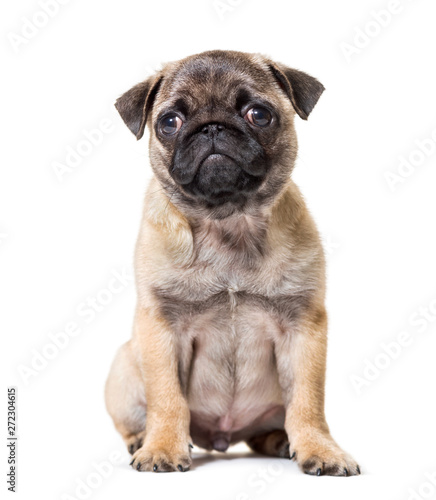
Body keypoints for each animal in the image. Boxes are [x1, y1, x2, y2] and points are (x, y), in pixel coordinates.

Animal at [104, 50, 360, 476]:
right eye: (169, 122)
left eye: (259, 114)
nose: (212, 128)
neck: (227, 223)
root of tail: (223, 437)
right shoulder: (161, 326)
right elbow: (167, 397)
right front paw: (162, 447)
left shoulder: (304, 327)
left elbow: (307, 400)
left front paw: (320, 449)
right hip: (125, 369)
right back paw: (142, 439)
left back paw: (281, 440)